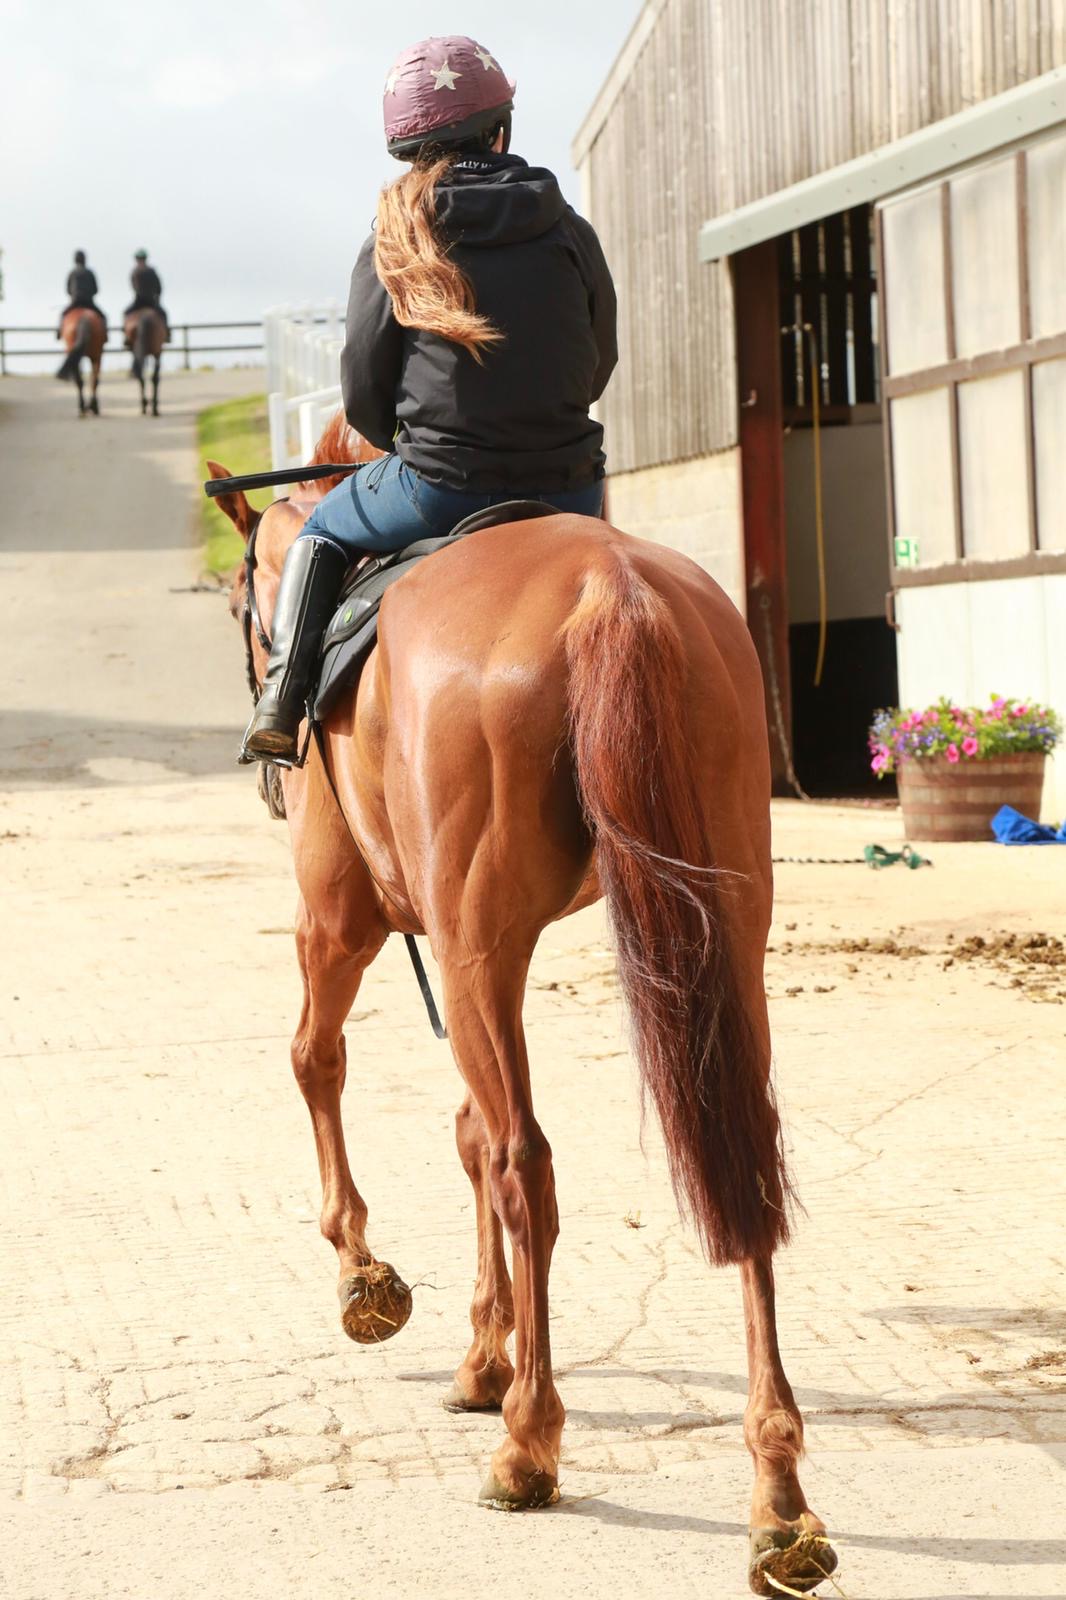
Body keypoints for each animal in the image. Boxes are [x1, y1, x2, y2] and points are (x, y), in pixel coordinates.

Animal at [208, 419, 832, 1593]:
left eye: (235, 605)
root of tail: (609, 585)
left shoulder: (344, 922)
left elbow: (319, 1062)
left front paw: (368, 1278)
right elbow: (460, 1129)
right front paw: (483, 1350)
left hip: (462, 945)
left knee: (522, 1164)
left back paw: (530, 1446)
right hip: (716, 933)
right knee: (736, 1163)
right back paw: (778, 1498)